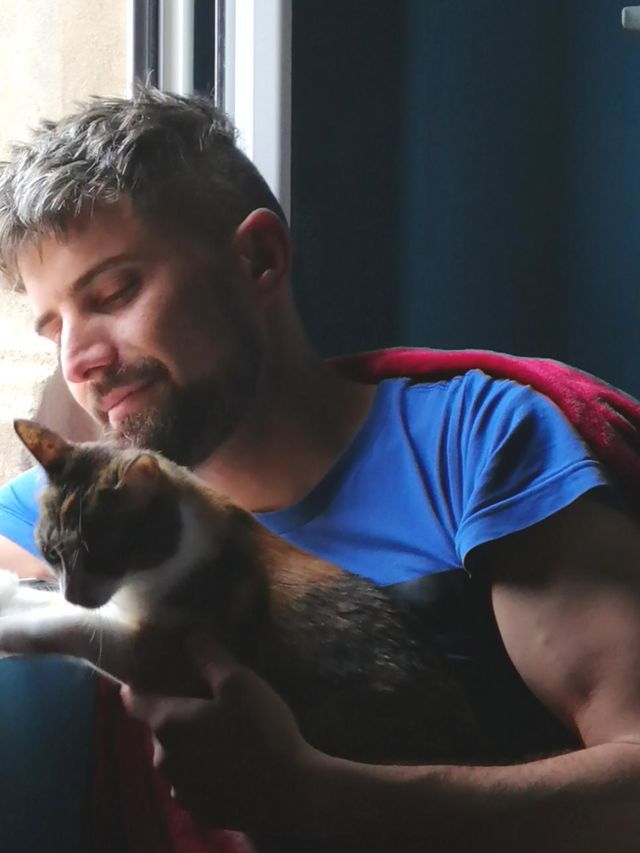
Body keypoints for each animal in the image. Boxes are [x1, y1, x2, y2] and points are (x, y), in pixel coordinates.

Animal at [1, 418, 480, 851]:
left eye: (102, 557)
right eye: (51, 553)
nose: (75, 591)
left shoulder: (162, 655)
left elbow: (75, 626)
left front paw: (14, 627)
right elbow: (54, 605)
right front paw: (12, 592)